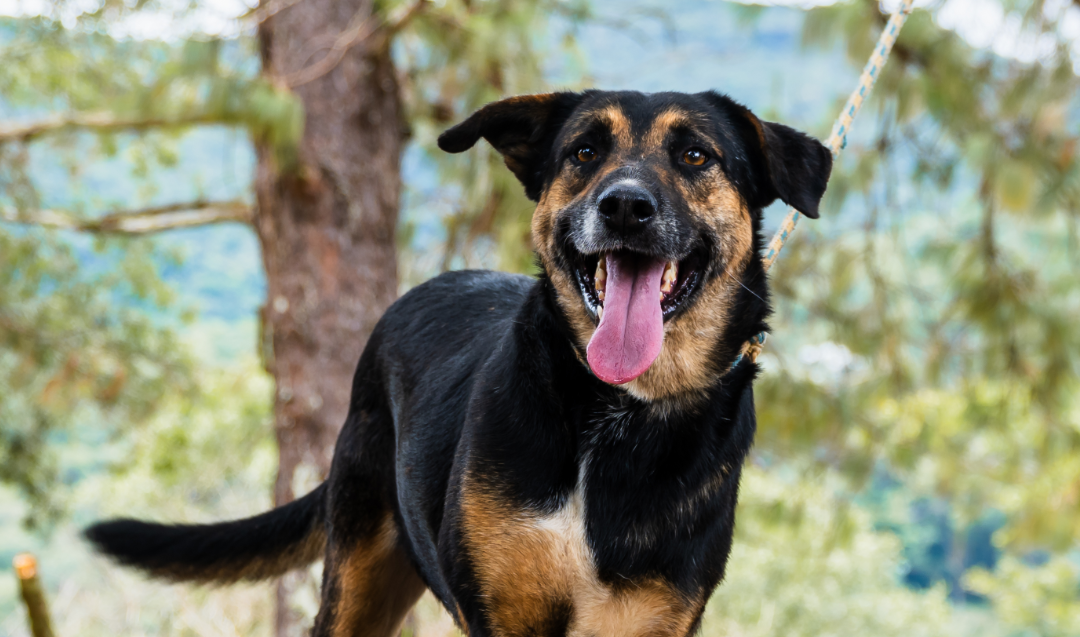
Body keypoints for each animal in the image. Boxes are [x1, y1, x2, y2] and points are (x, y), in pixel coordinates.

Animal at [90, 91, 833, 637]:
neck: (617, 412)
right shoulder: (502, 613)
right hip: (356, 583)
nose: (624, 205)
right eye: (585, 151)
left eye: (695, 155)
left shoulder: (650, 618)